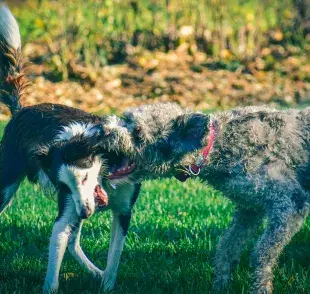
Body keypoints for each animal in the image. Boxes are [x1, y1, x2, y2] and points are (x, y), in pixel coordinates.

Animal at [108, 102, 308, 292]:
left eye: (138, 133)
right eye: (126, 118)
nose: (105, 130)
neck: (217, 145)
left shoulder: (290, 204)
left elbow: (262, 253)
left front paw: (261, 287)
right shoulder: (249, 209)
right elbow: (227, 246)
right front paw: (221, 285)